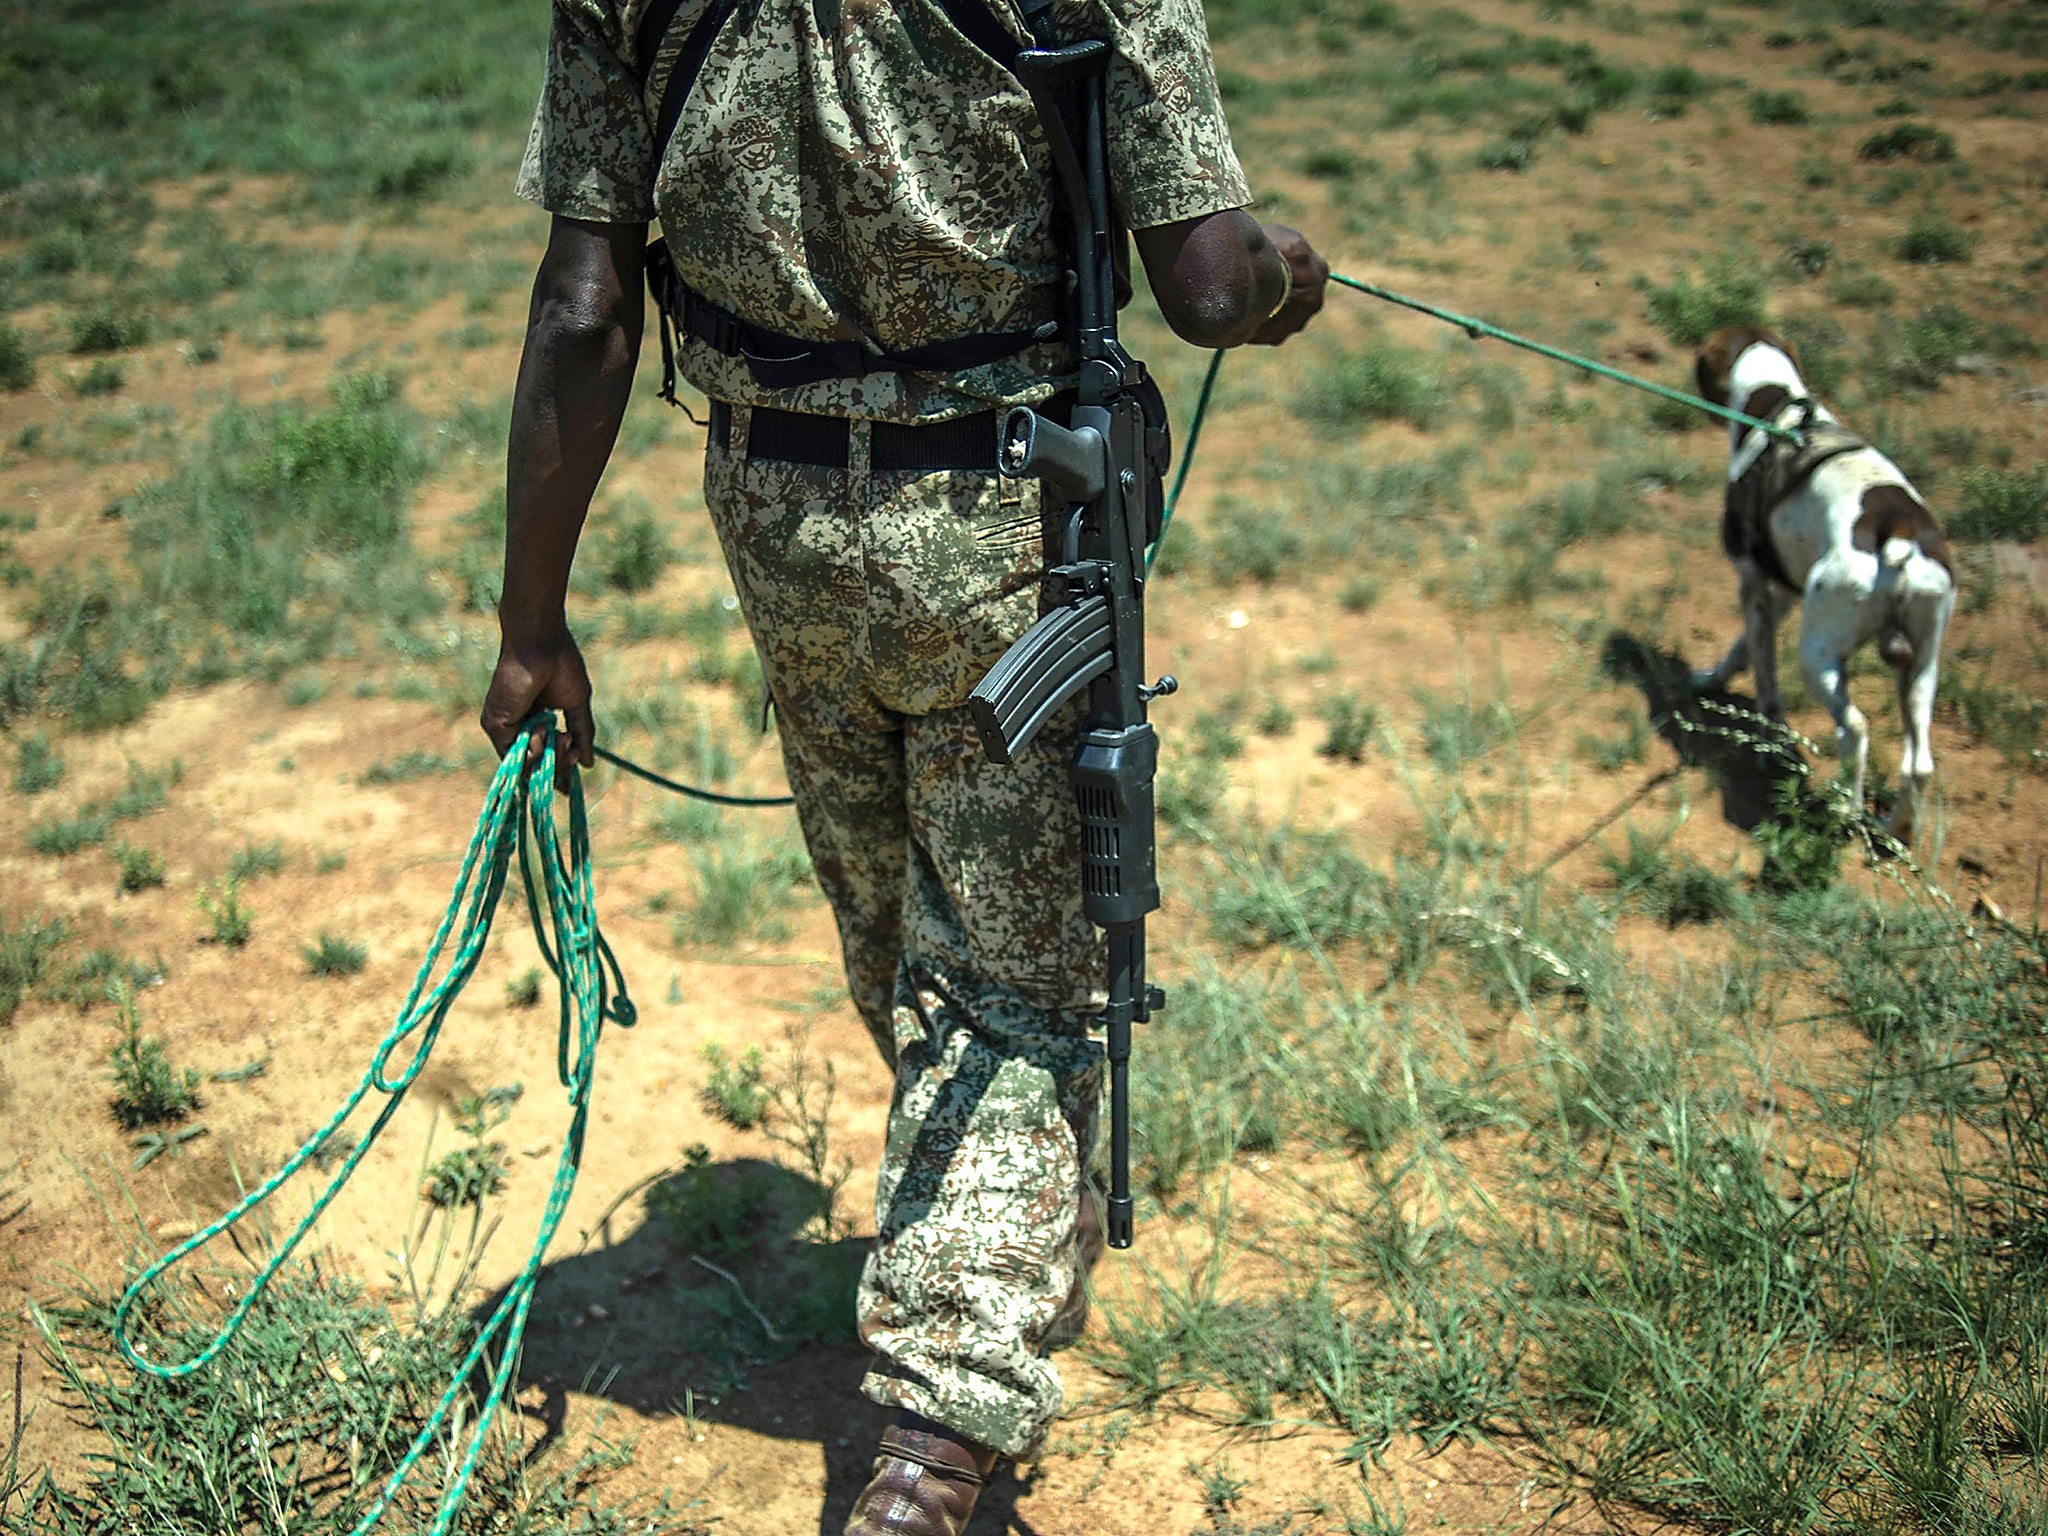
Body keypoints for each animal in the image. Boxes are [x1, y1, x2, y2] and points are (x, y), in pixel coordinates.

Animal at [1687, 325, 1957, 843]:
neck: (1776, 406)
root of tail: (1899, 535)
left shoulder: (1753, 583)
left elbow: (1764, 677)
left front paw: (1767, 739)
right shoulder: (1787, 592)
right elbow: (1742, 647)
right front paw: (1713, 678)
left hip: (1818, 655)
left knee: (1855, 729)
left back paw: (1845, 813)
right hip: (1922, 662)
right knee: (1920, 765)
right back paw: (1893, 830)